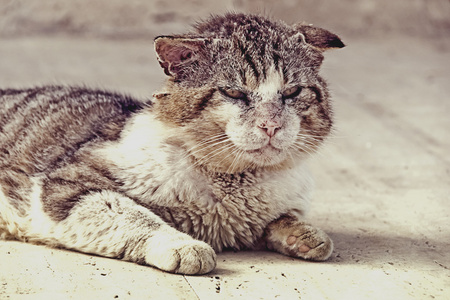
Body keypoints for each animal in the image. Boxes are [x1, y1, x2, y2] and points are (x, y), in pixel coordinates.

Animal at [0, 12, 344, 274]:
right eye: (233, 93)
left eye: (293, 92)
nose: (270, 125)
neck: (234, 187)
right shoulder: (67, 186)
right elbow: (138, 217)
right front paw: (185, 246)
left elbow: (282, 218)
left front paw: (307, 236)